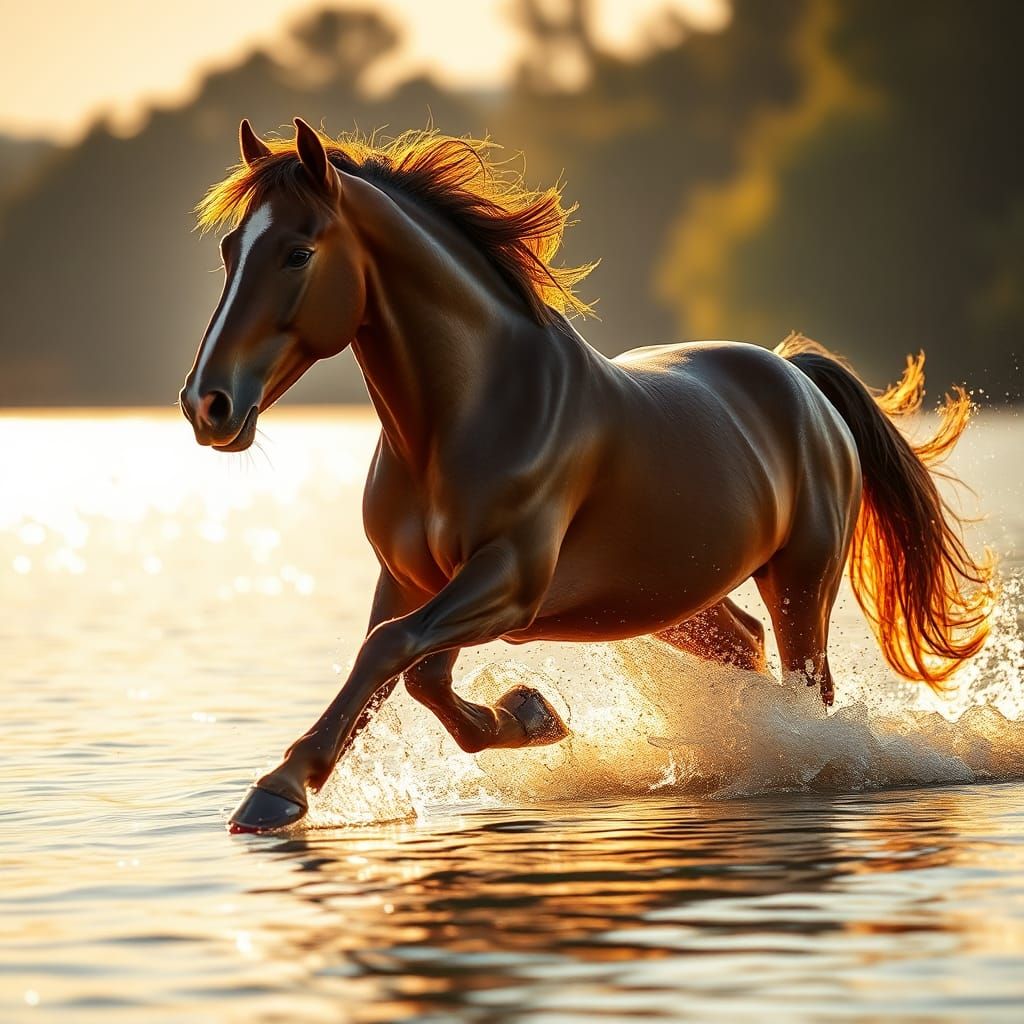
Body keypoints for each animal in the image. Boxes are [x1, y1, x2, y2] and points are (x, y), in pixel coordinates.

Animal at [180, 119, 995, 833]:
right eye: (229, 249)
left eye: (297, 252)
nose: (207, 404)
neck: (465, 418)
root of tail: (799, 377)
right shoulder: (412, 579)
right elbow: (403, 667)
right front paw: (528, 716)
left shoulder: (509, 579)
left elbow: (391, 655)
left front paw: (278, 792)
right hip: (678, 601)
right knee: (749, 648)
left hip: (801, 578)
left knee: (809, 690)